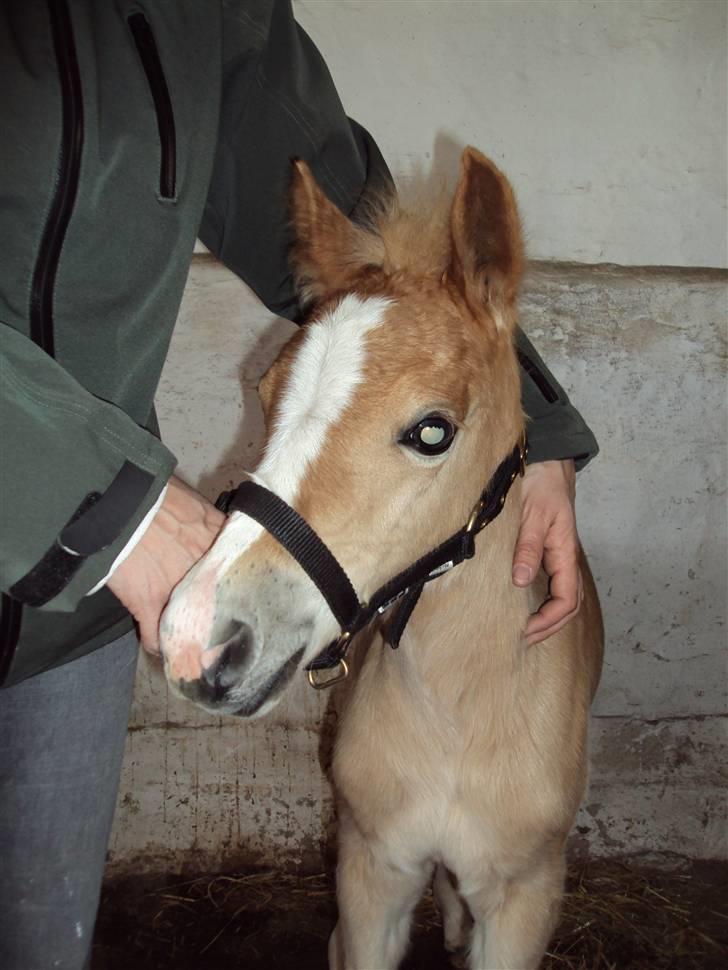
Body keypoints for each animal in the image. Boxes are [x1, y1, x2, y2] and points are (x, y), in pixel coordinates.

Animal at [159, 146, 604, 968]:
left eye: (432, 431)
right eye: (265, 391)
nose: (196, 640)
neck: (458, 714)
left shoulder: (525, 897)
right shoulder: (371, 872)